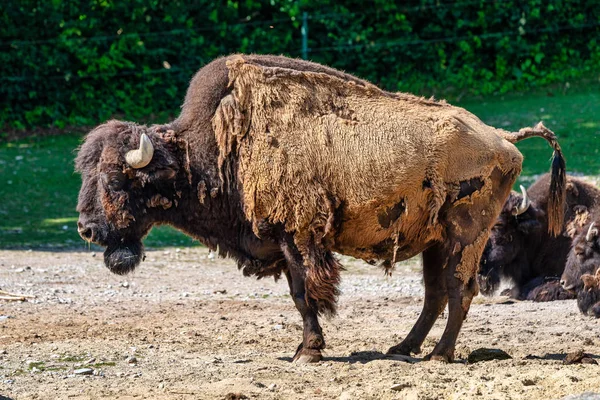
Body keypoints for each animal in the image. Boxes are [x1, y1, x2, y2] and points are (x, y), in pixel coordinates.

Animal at [76, 54, 568, 364]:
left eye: (117, 180)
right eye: (86, 172)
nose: (86, 229)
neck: (214, 147)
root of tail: (502, 137)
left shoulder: (297, 238)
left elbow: (304, 293)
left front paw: (307, 351)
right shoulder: (287, 241)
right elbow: (302, 295)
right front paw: (308, 348)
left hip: (466, 236)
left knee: (459, 290)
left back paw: (439, 356)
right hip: (435, 241)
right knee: (435, 295)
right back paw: (402, 348)